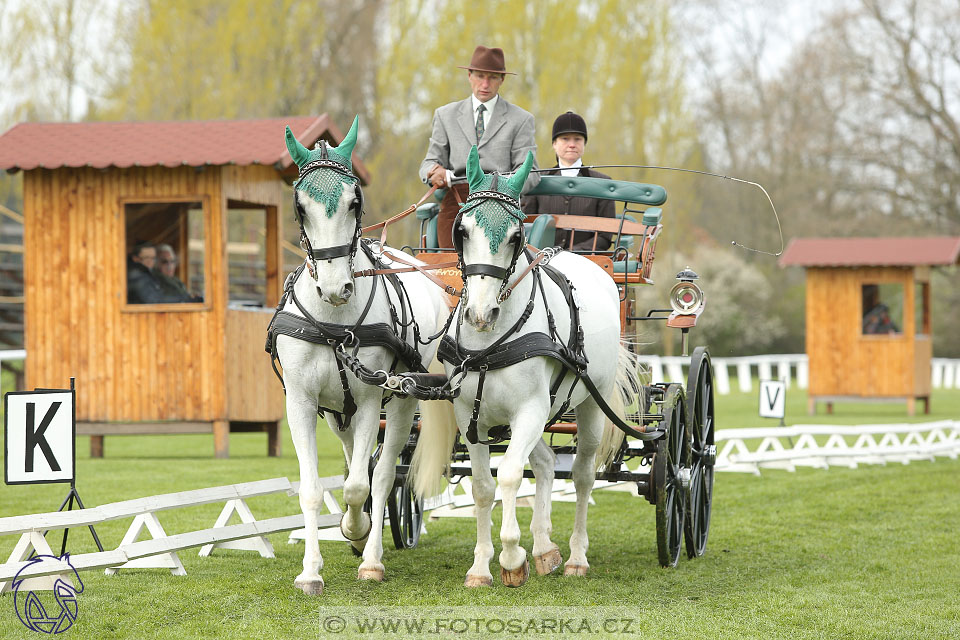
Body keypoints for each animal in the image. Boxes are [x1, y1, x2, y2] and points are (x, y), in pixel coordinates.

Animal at [270, 116, 450, 596]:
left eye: (355, 201)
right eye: (300, 207)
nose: (336, 288)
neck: (334, 319)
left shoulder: (372, 401)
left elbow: (358, 486)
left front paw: (358, 533)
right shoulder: (302, 403)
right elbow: (315, 488)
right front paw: (311, 570)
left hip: (403, 401)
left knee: (382, 475)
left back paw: (370, 555)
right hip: (338, 411)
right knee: (356, 460)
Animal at [410, 148, 636, 588]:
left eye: (516, 236)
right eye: (462, 231)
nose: (481, 314)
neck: (489, 344)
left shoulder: (529, 410)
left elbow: (512, 475)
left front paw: (513, 558)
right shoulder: (470, 417)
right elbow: (484, 487)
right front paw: (481, 567)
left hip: (588, 405)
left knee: (582, 475)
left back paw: (576, 557)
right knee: (546, 465)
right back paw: (546, 549)